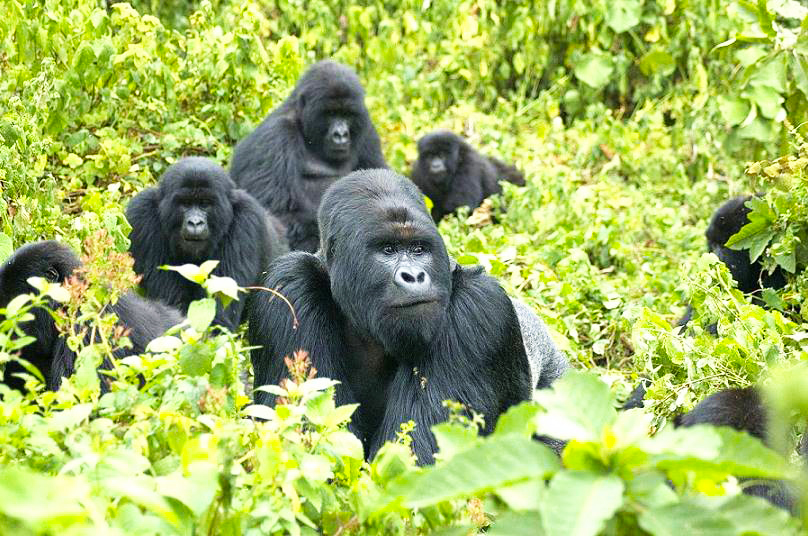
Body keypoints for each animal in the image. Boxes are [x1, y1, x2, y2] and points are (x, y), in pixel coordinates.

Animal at [126, 156, 288, 330]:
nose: (195, 223)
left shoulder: (246, 220)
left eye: (205, 204)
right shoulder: (142, 214)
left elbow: (218, 318)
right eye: (185, 203)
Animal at [230, 60, 388, 253]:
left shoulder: (368, 131)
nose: (341, 134)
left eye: (347, 114)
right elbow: (281, 214)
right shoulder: (274, 137)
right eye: (330, 113)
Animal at [248, 169, 568, 464]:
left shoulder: (479, 309)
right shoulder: (287, 285)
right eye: (388, 249)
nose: (414, 276)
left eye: (419, 249)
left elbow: (414, 458)